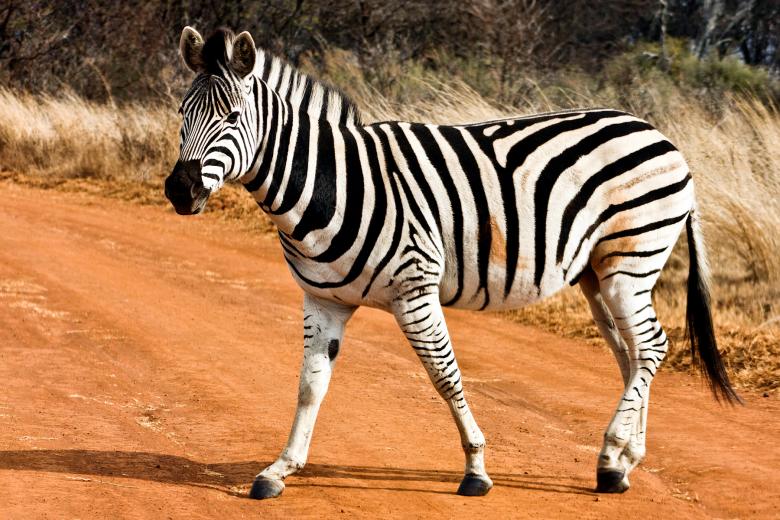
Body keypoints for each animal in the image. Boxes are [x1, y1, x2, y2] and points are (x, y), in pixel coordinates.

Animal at [164, 27, 739, 499]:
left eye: (232, 117)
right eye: (181, 115)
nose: (179, 191)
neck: (330, 184)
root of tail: (660, 135)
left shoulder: (415, 289)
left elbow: (445, 377)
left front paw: (476, 470)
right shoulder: (323, 299)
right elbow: (309, 385)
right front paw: (279, 469)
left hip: (631, 259)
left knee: (653, 346)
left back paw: (615, 450)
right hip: (597, 273)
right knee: (633, 354)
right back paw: (620, 462)